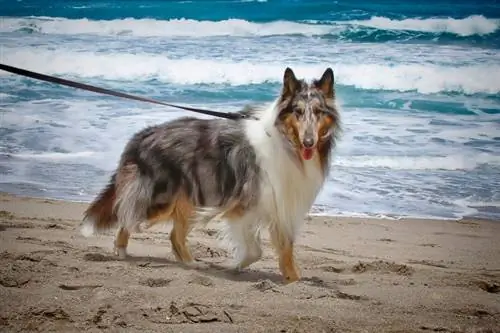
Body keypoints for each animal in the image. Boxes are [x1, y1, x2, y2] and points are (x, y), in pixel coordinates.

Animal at [81, 67, 340, 282]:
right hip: (160, 199)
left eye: (318, 111)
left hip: (190, 198)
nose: (309, 142)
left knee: (174, 234)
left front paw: (292, 279)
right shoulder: (243, 205)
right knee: (128, 217)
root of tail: (143, 135)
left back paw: (189, 263)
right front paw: (236, 265)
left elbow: (283, 250)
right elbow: (255, 250)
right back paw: (121, 251)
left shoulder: (280, 207)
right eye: (297, 111)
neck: (285, 142)